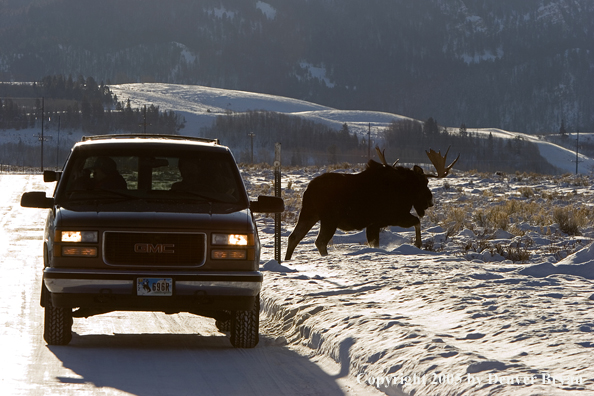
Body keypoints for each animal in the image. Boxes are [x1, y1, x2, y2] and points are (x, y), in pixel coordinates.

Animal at [284, 145, 458, 260]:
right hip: (329, 219)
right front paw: (418, 244)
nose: (430, 200)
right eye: (424, 182)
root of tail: (308, 189)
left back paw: (286, 260)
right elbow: (417, 222)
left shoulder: (374, 224)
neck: (405, 190)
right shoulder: (392, 217)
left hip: (309, 213)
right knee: (319, 241)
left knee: (294, 237)